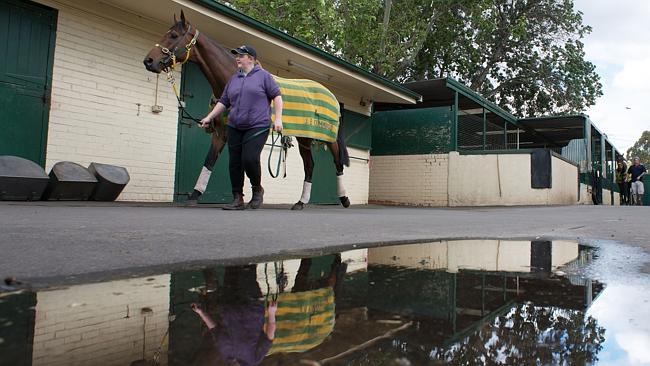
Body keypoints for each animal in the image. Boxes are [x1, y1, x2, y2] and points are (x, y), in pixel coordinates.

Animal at [142, 11, 350, 210]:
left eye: (174, 35)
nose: (149, 61)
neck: (232, 78)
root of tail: (332, 97)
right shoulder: (221, 133)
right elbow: (210, 161)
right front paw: (195, 196)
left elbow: (247, 161)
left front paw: (255, 197)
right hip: (304, 138)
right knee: (309, 165)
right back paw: (300, 202)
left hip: (327, 137)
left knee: (337, 162)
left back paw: (344, 199)